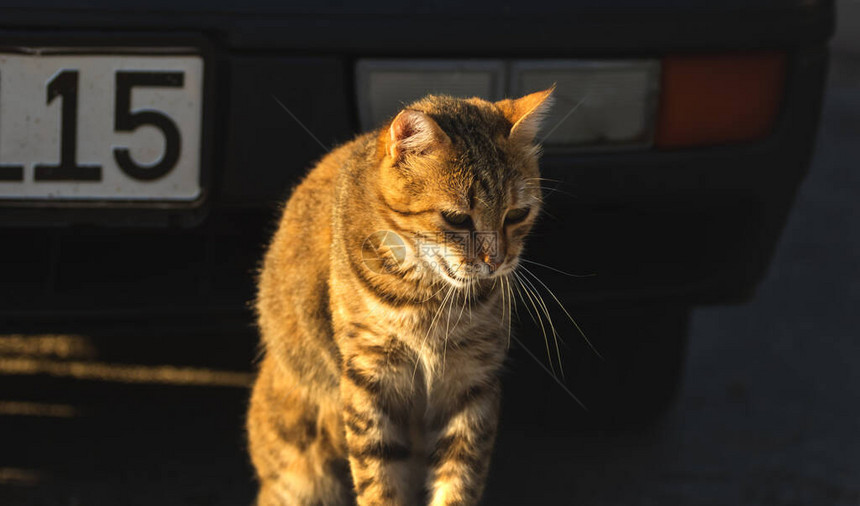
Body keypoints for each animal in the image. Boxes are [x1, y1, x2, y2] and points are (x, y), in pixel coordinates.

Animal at [247, 88, 556, 506]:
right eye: (456, 219)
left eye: (517, 214)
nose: (496, 261)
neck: (429, 298)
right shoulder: (370, 374)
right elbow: (378, 478)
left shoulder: (472, 379)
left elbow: (458, 476)